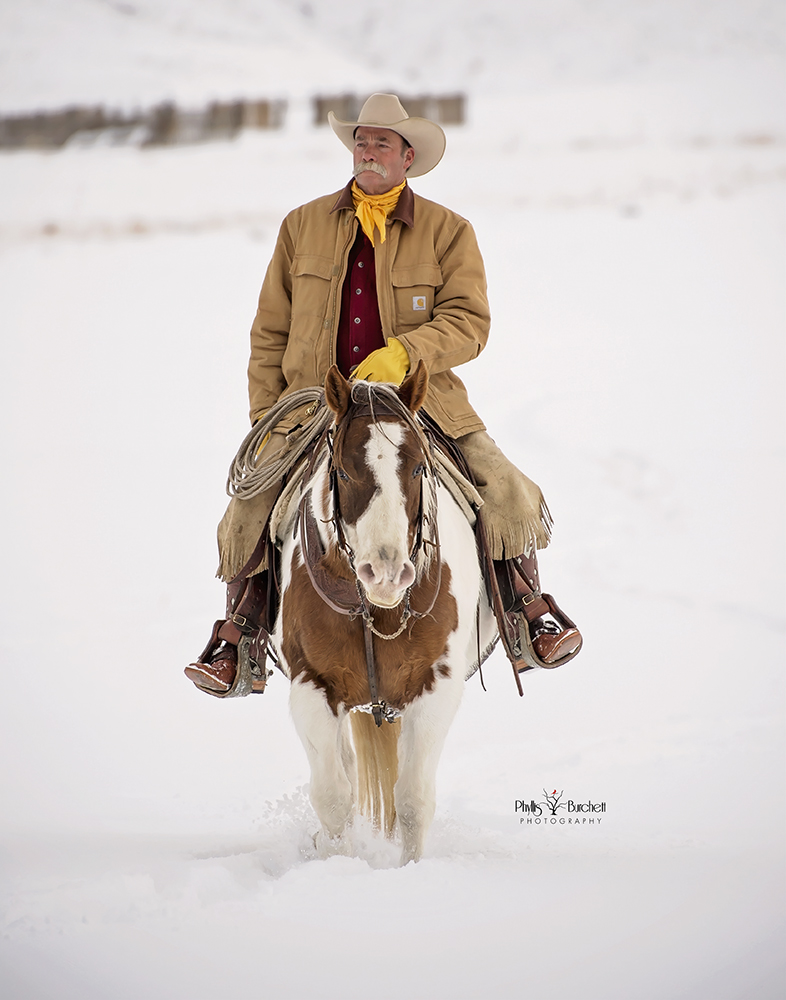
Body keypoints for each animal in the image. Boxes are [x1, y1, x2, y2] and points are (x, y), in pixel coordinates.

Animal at [270, 364, 490, 864]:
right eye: (344, 470)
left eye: (417, 466)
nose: (386, 572)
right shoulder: (311, 686)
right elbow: (334, 797)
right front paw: (337, 864)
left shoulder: (436, 689)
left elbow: (412, 799)